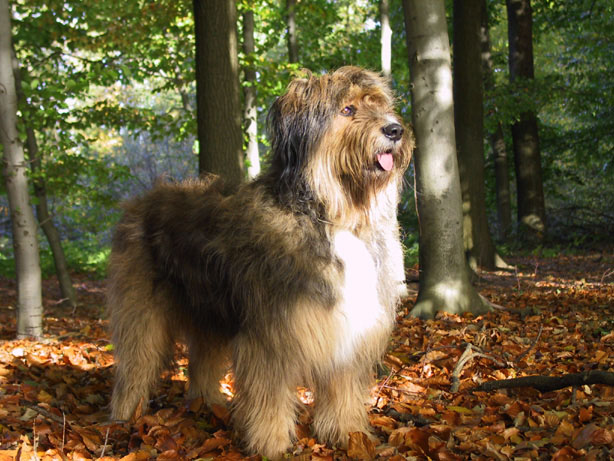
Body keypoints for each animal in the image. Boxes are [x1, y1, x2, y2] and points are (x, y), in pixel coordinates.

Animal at [108, 66, 413, 458]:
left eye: (381, 106)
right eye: (348, 109)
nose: (395, 130)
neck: (333, 216)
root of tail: (141, 200)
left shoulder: (349, 331)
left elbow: (342, 388)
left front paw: (347, 434)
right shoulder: (271, 335)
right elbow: (270, 395)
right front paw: (272, 444)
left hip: (210, 312)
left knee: (203, 361)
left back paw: (207, 404)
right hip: (142, 312)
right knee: (136, 362)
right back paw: (123, 416)